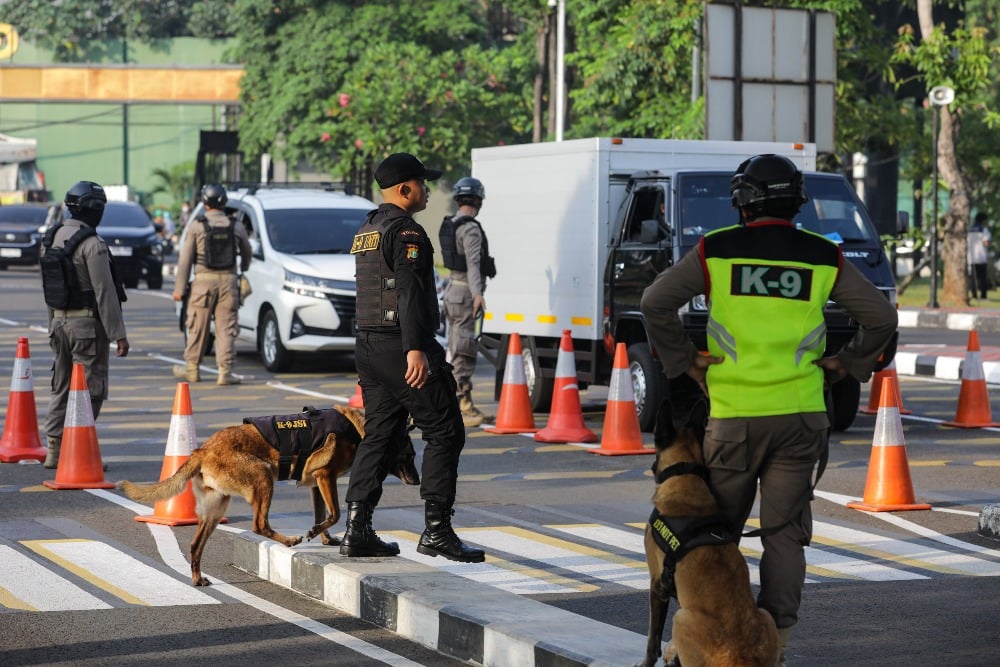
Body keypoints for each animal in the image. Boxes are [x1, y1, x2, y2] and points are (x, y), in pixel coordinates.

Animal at [120, 404, 418, 588]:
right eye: (410, 455)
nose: (417, 480)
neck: (357, 428)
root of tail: (203, 450)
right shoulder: (325, 476)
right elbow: (334, 513)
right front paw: (314, 533)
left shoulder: (316, 484)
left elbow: (323, 513)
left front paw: (326, 538)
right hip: (263, 477)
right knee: (259, 525)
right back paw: (288, 540)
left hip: (216, 508)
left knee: (195, 546)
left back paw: (197, 578)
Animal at [636, 396, 776, 667]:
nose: (651, 466)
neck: (685, 476)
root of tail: (741, 658)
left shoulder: (657, 584)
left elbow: (652, 638)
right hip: (765, 615)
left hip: (681, 617)